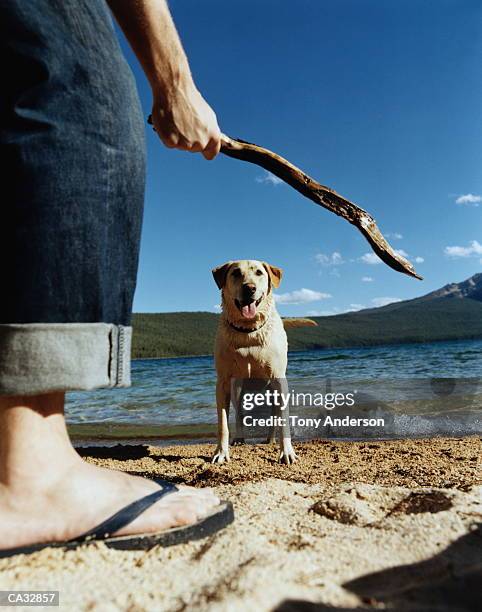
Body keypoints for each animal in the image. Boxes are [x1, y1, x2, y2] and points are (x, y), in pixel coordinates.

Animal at [212, 258, 298, 464]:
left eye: (259, 272)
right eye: (235, 273)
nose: (249, 288)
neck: (248, 332)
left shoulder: (278, 380)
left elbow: (283, 420)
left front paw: (287, 452)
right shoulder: (223, 382)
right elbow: (223, 423)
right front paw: (221, 453)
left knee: (275, 415)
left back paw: (270, 440)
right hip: (237, 390)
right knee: (240, 413)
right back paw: (240, 438)